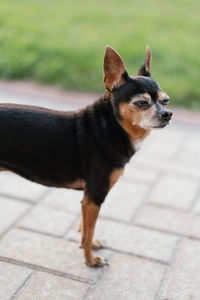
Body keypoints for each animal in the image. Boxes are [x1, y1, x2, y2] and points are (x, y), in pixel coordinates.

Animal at [0, 46, 172, 268]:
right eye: (142, 103)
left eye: (165, 100)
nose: (168, 114)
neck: (109, 128)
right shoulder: (95, 197)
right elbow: (88, 234)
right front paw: (91, 260)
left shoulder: (88, 199)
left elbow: (84, 228)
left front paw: (90, 245)